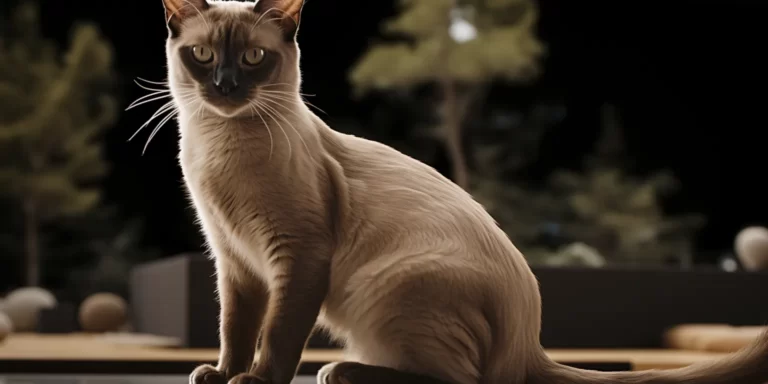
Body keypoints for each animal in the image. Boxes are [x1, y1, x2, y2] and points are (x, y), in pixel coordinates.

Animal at [153, 0, 768, 382]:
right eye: (203, 56)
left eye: (253, 58)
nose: (225, 86)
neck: (219, 145)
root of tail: (529, 346)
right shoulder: (234, 261)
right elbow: (235, 329)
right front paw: (221, 375)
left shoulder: (296, 256)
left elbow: (278, 335)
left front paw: (255, 381)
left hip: (387, 286)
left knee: (463, 379)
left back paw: (341, 372)